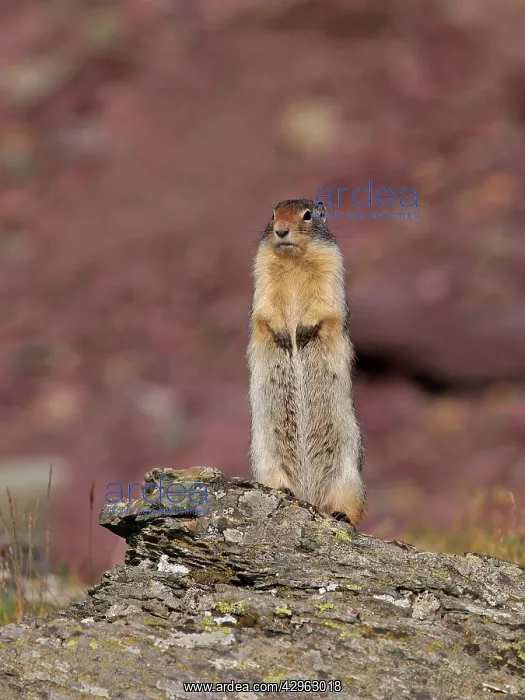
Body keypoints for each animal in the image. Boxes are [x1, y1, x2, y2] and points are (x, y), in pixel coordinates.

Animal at [247, 198, 366, 526]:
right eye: (272, 214)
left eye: (308, 215)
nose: (280, 230)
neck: (293, 261)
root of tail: (309, 496)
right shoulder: (262, 273)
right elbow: (264, 310)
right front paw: (284, 335)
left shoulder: (331, 268)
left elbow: (326, 305)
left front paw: (301, 332)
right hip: (266, 460)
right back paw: (285, 491)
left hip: (348, 476)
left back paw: (341, 516)